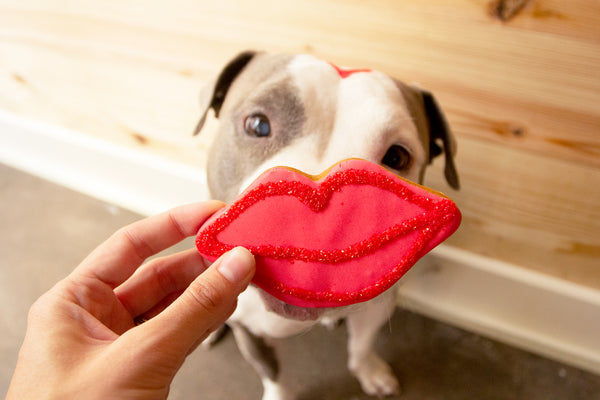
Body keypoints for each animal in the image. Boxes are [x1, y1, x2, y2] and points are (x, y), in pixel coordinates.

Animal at [193, 51, 460, 398]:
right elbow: (271, 371)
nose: (319, 230)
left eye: (397, 157)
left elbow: (361, 346)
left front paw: (370, 371)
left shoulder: (378, 307)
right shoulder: (249, 330)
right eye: (258, 125)